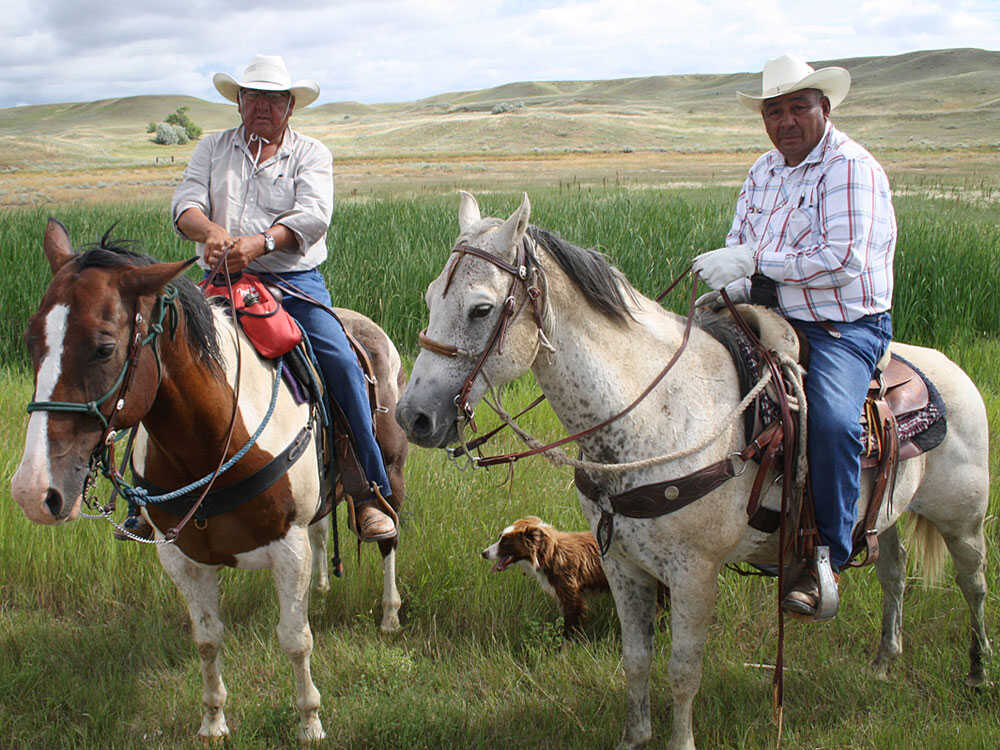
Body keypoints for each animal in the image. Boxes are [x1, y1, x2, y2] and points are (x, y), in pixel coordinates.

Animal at [7, 219, 406, 748]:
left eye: (104, 347)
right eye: (32, 341)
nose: (33, 491)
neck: (212, 439)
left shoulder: (288, 546)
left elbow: (294, 640)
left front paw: (309, 722)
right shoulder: (181, 556)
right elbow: (207, 637)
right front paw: (214, 720)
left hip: (391, 475)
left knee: (388, 541)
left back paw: (389, 615)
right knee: (323, 535)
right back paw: (322, 588)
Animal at [482, 516, 612, 636]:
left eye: (505, 541)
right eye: (500, 537)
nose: (483, 553)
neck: (550, 554)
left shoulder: (571, 597)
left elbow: (570, 626)